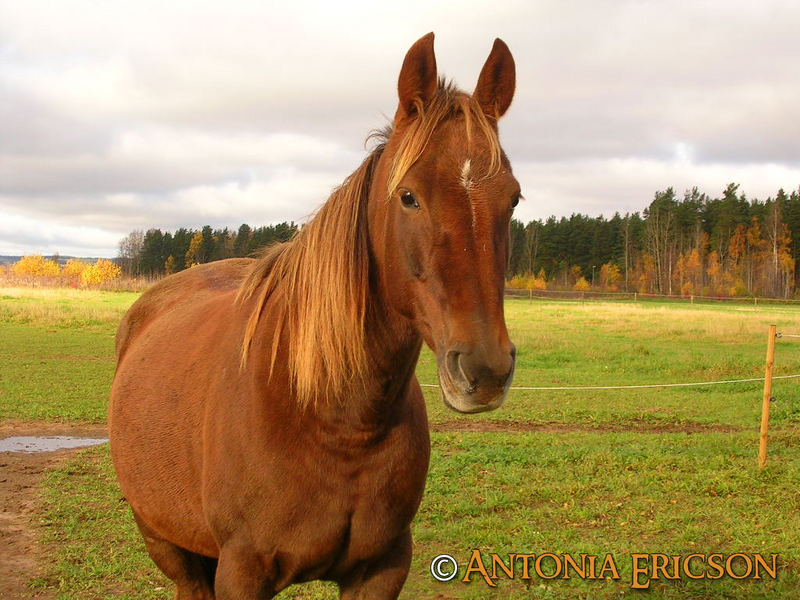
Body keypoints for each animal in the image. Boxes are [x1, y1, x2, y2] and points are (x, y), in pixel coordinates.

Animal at [108, 34, 520, 600]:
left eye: (513, 199)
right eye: (409, 197)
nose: (484, 370)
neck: (334, 418)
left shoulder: (383, 567)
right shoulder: (243, 570)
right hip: (166, 542)